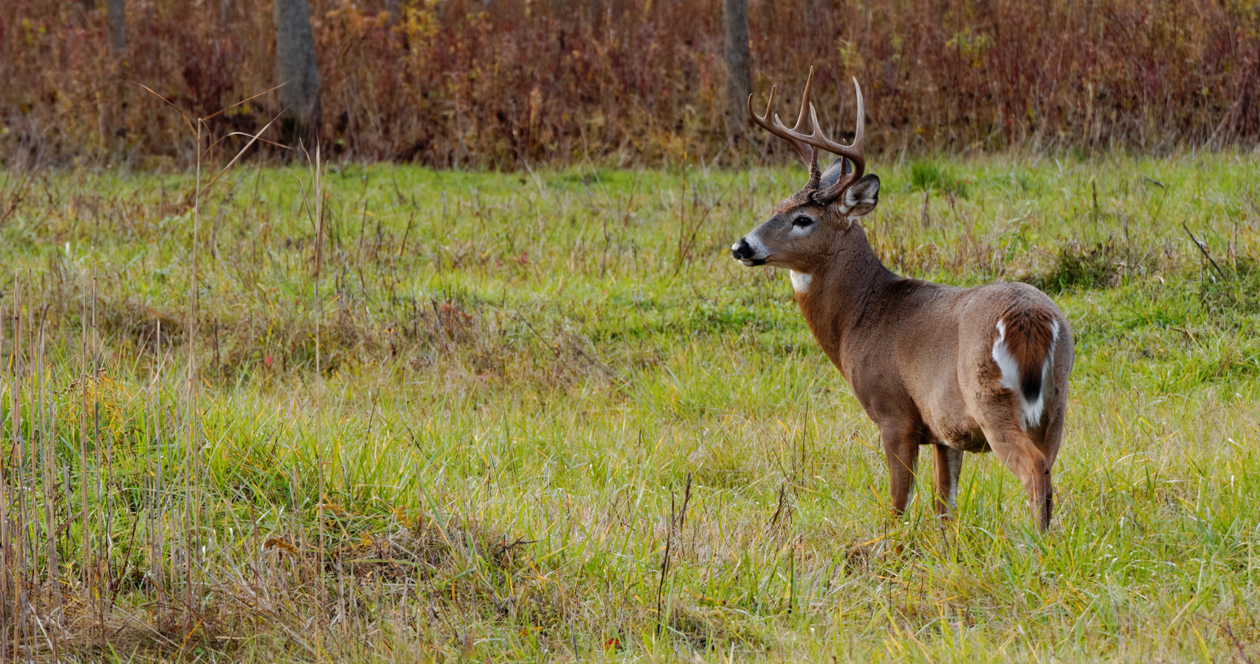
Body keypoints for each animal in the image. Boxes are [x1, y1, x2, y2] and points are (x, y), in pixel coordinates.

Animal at [730, 70, 1074, 531]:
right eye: (778, 206)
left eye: (803, 219)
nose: (741, 246)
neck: (859, 318)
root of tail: (1032, 318)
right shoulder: (946, 430)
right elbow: (944, 505)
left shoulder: (894, 413)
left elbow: (898, 504)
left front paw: (888, 546)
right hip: (1057, 401)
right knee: (1050, 468)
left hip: (991, 398)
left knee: (1034, 469)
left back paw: (1035, 544)